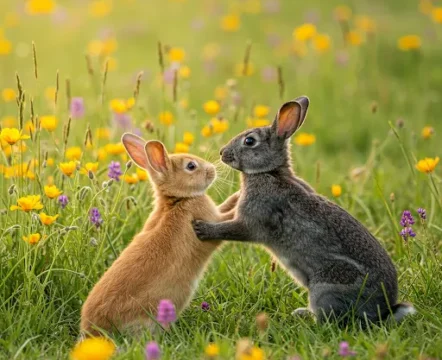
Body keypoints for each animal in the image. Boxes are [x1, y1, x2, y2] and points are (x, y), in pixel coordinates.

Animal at [80, 134, 238, 336]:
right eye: (191, 166)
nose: (212, 170)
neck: (177, 199)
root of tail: (92, 332)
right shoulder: (212, 221)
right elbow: (227, 216)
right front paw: (240, 197)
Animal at [193, 96, 414, 326]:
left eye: (250, 141)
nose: (222, 153)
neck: (269, 172)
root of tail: (382, 310)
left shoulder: (254, 219)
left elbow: (233, 229)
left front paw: (202, 229)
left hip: (324, 289)